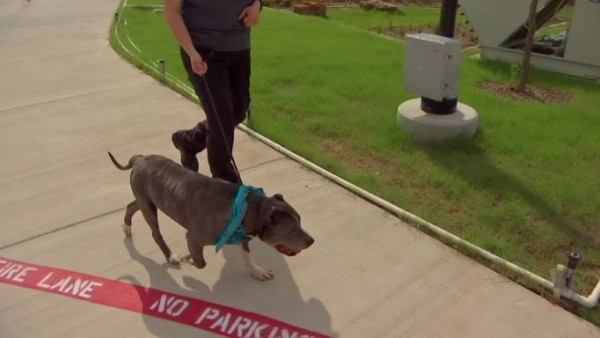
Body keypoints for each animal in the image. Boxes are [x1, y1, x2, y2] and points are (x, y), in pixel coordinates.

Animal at [108, 152, 314, 280]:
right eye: (292, 229)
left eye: (301, 221)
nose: (311, 241)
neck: (246, 207)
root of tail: (141, 158)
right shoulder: (193, 238)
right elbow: (201, 263)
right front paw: (188, 259)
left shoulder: (241, 235)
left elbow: (247, 256)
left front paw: (257, 271)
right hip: (149, 207)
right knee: (156, 233)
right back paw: (171, 256)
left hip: (146, 199)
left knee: (131, 206)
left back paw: (127, 227)